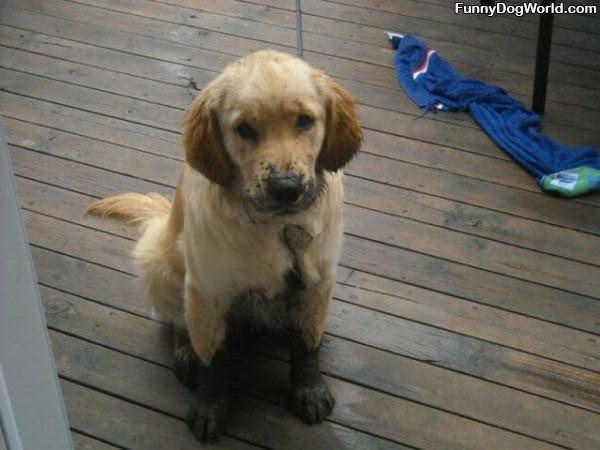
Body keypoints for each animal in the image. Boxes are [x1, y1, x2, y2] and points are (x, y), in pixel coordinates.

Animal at [84, 51, 360, 442]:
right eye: (244, 128)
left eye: (305, 121)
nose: (286, 188)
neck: (273, 226)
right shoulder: (206, 290)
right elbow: (213, 357)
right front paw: (209, 407)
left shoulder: (317, 278)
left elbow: (307, 343)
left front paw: (309, 389)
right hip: (158, 260)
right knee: (176, 321)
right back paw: (185, 354)